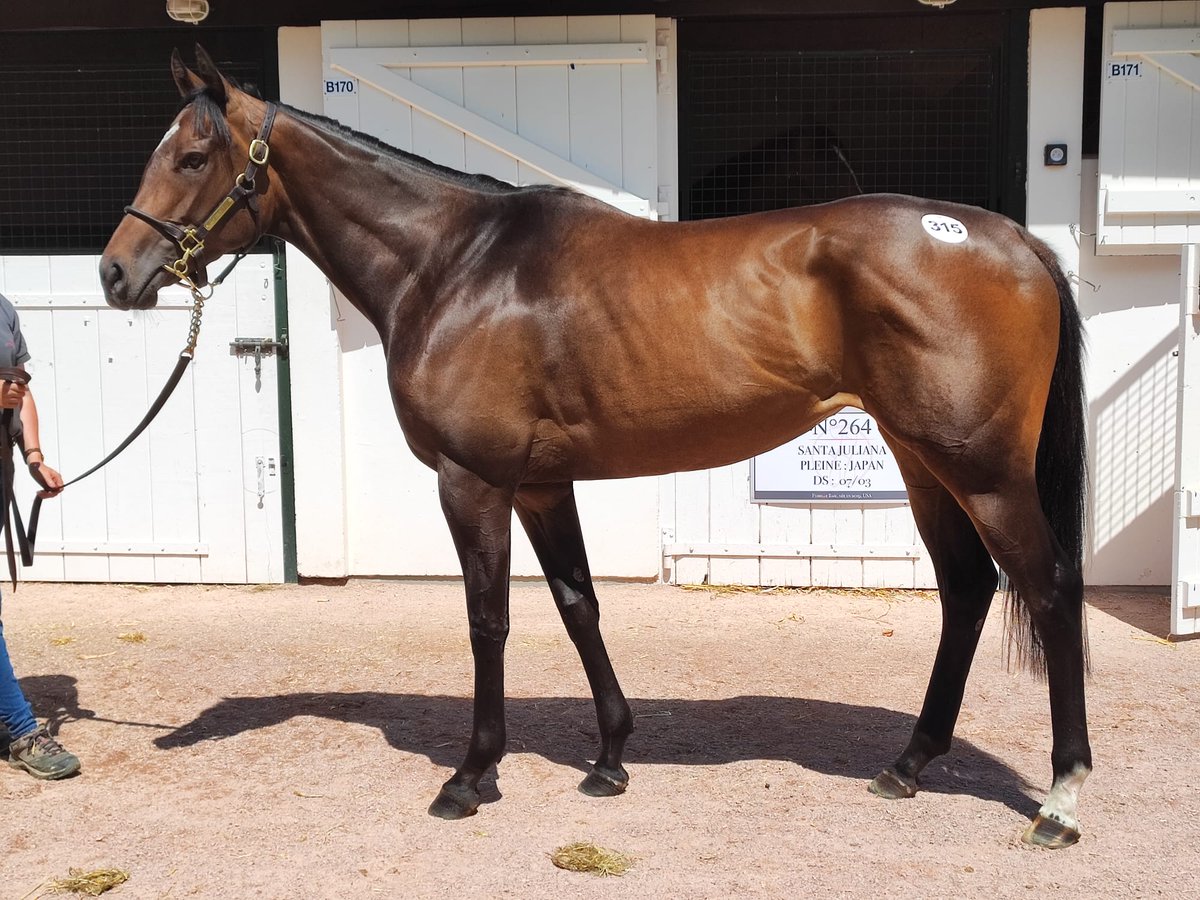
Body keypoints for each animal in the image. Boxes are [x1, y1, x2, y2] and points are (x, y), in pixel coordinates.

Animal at [99, 46, 1091, 849]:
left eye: (193, 157)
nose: (115, 274)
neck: (455, 264)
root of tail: (1014, 239)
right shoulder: (541, 486)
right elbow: (579, 606)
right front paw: (610, 758)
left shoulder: (473, 481)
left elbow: (489, 621)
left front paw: (473, 775)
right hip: (924, 464)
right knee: (966, 591)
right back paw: (909, 765)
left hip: (984, 472)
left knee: (1047, 589)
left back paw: (1062, 796)